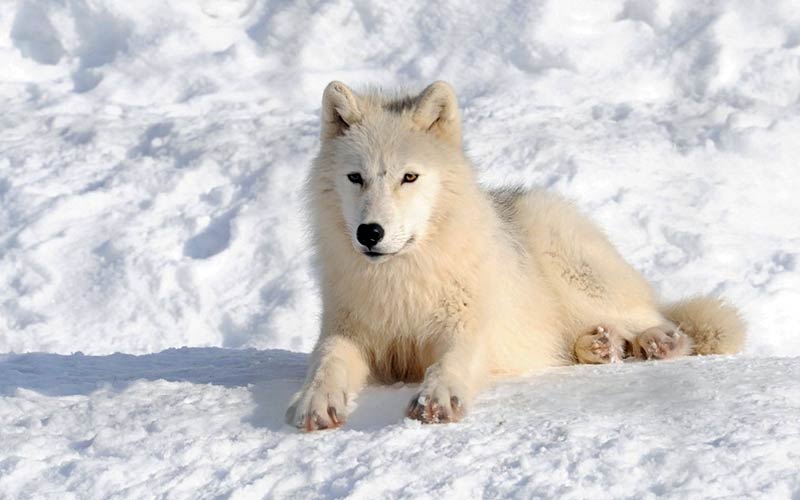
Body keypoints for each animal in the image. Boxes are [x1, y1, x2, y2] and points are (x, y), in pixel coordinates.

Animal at [285, 81, 745, 431]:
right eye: (355, 177)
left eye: (409, 177)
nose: (370, 233)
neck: (401, 282)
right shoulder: (346, 331)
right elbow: (326, 361)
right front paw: (314, 401)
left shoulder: (468, 325)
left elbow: (451, 362)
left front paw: (437, 398)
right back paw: (600, 346)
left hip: (577, 278)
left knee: (656, 318)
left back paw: (657, 342)